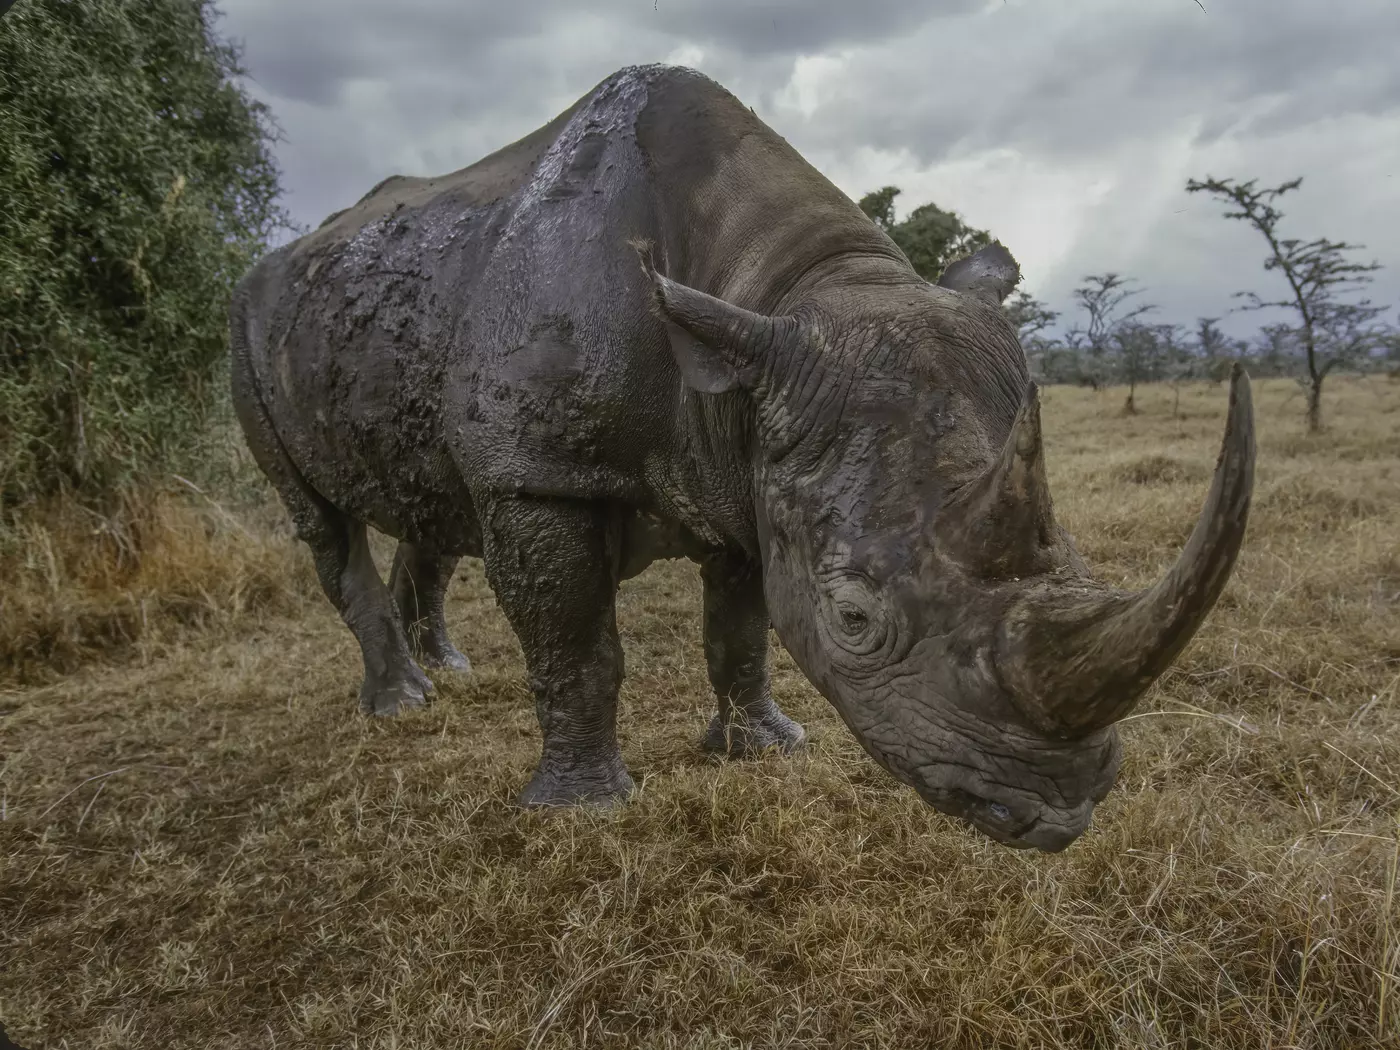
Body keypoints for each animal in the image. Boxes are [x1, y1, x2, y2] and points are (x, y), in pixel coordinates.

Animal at [230, 64, 1254, 851]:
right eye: (852, 618)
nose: (1053, 814)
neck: (777, 289)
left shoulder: (752, 449)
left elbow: (742, 629)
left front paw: (763, 747)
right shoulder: (541, 468)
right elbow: (576, 643)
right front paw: (583, 810)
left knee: (433, 506)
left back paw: (450, 671)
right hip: (249, 328)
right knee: (321, 521)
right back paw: (403, 703)